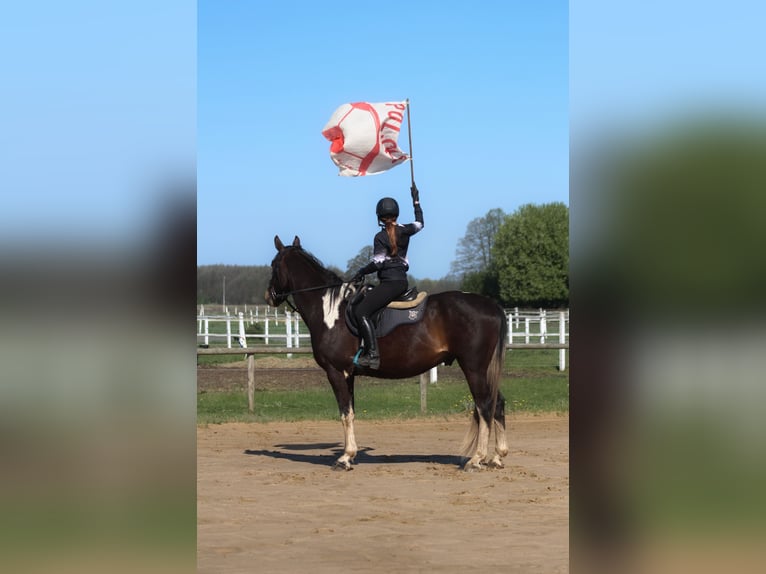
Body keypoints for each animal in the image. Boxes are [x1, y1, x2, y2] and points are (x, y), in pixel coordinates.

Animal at [265, 235, 509, 471]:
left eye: (274, 265)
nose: (269, 296)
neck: (331, 311)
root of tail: (492, 306)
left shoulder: (336, 372)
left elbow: (345, 413)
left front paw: (344, 458)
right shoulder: (349, 374)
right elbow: (351, 412)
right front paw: (350, 455)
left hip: (473, 367)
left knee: (484, 404)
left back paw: (476, 459)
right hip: (482, 369)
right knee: (497, 403)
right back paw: (497, 457)